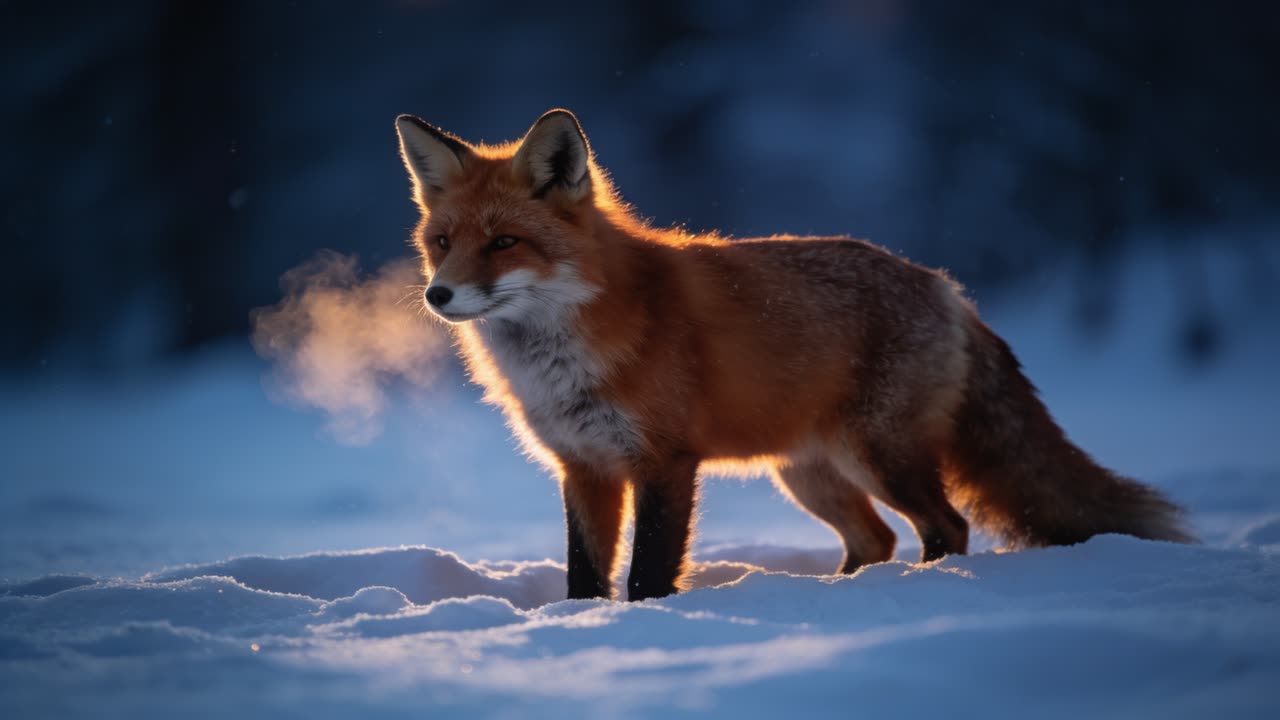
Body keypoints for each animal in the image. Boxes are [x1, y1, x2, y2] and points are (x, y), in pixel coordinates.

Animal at [394, 108, 1193, 601]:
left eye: (504, 243)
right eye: (443, 242)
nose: (439, 294)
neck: (568, 352)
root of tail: (945, 286)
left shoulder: (664, 461)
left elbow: (648, 573)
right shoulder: (584, 467)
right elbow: (585, 575)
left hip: (879, 455)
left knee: (946, 527)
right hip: (808, 473)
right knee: (876, 538)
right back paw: (837, 597)